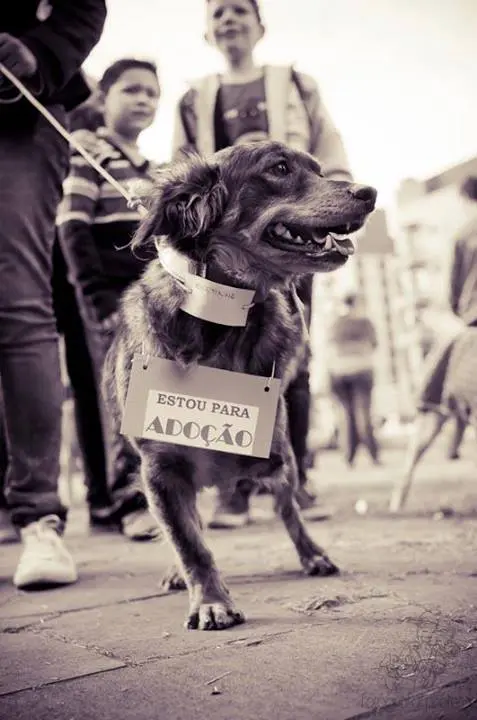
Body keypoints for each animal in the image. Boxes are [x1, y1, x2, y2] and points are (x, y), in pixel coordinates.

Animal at [104, 141, 376, 632]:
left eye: (318, 169)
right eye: (280, 168)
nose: (369, 192)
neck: (221, 323)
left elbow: (280, 513)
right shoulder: (159, 471)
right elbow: (190, 543)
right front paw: (210, 600)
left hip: (280, 455)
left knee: (289, 509)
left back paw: (313, 555)